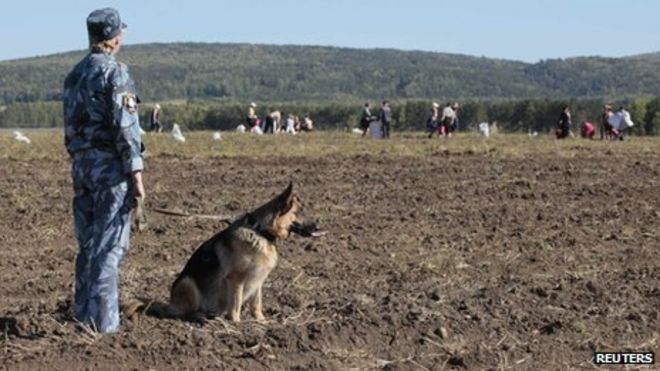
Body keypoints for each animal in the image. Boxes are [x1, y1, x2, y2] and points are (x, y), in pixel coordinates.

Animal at [127, 185, 320, 324]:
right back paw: (199, 317)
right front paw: (236, 323)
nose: (319, 223)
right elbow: (235, 303)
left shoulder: (258, 280)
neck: (260, 231)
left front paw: (261, 321)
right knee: (184, 313)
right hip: (187, 282)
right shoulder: (236, 279)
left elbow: (256, 304)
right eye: (299, 212)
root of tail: (170, 304)